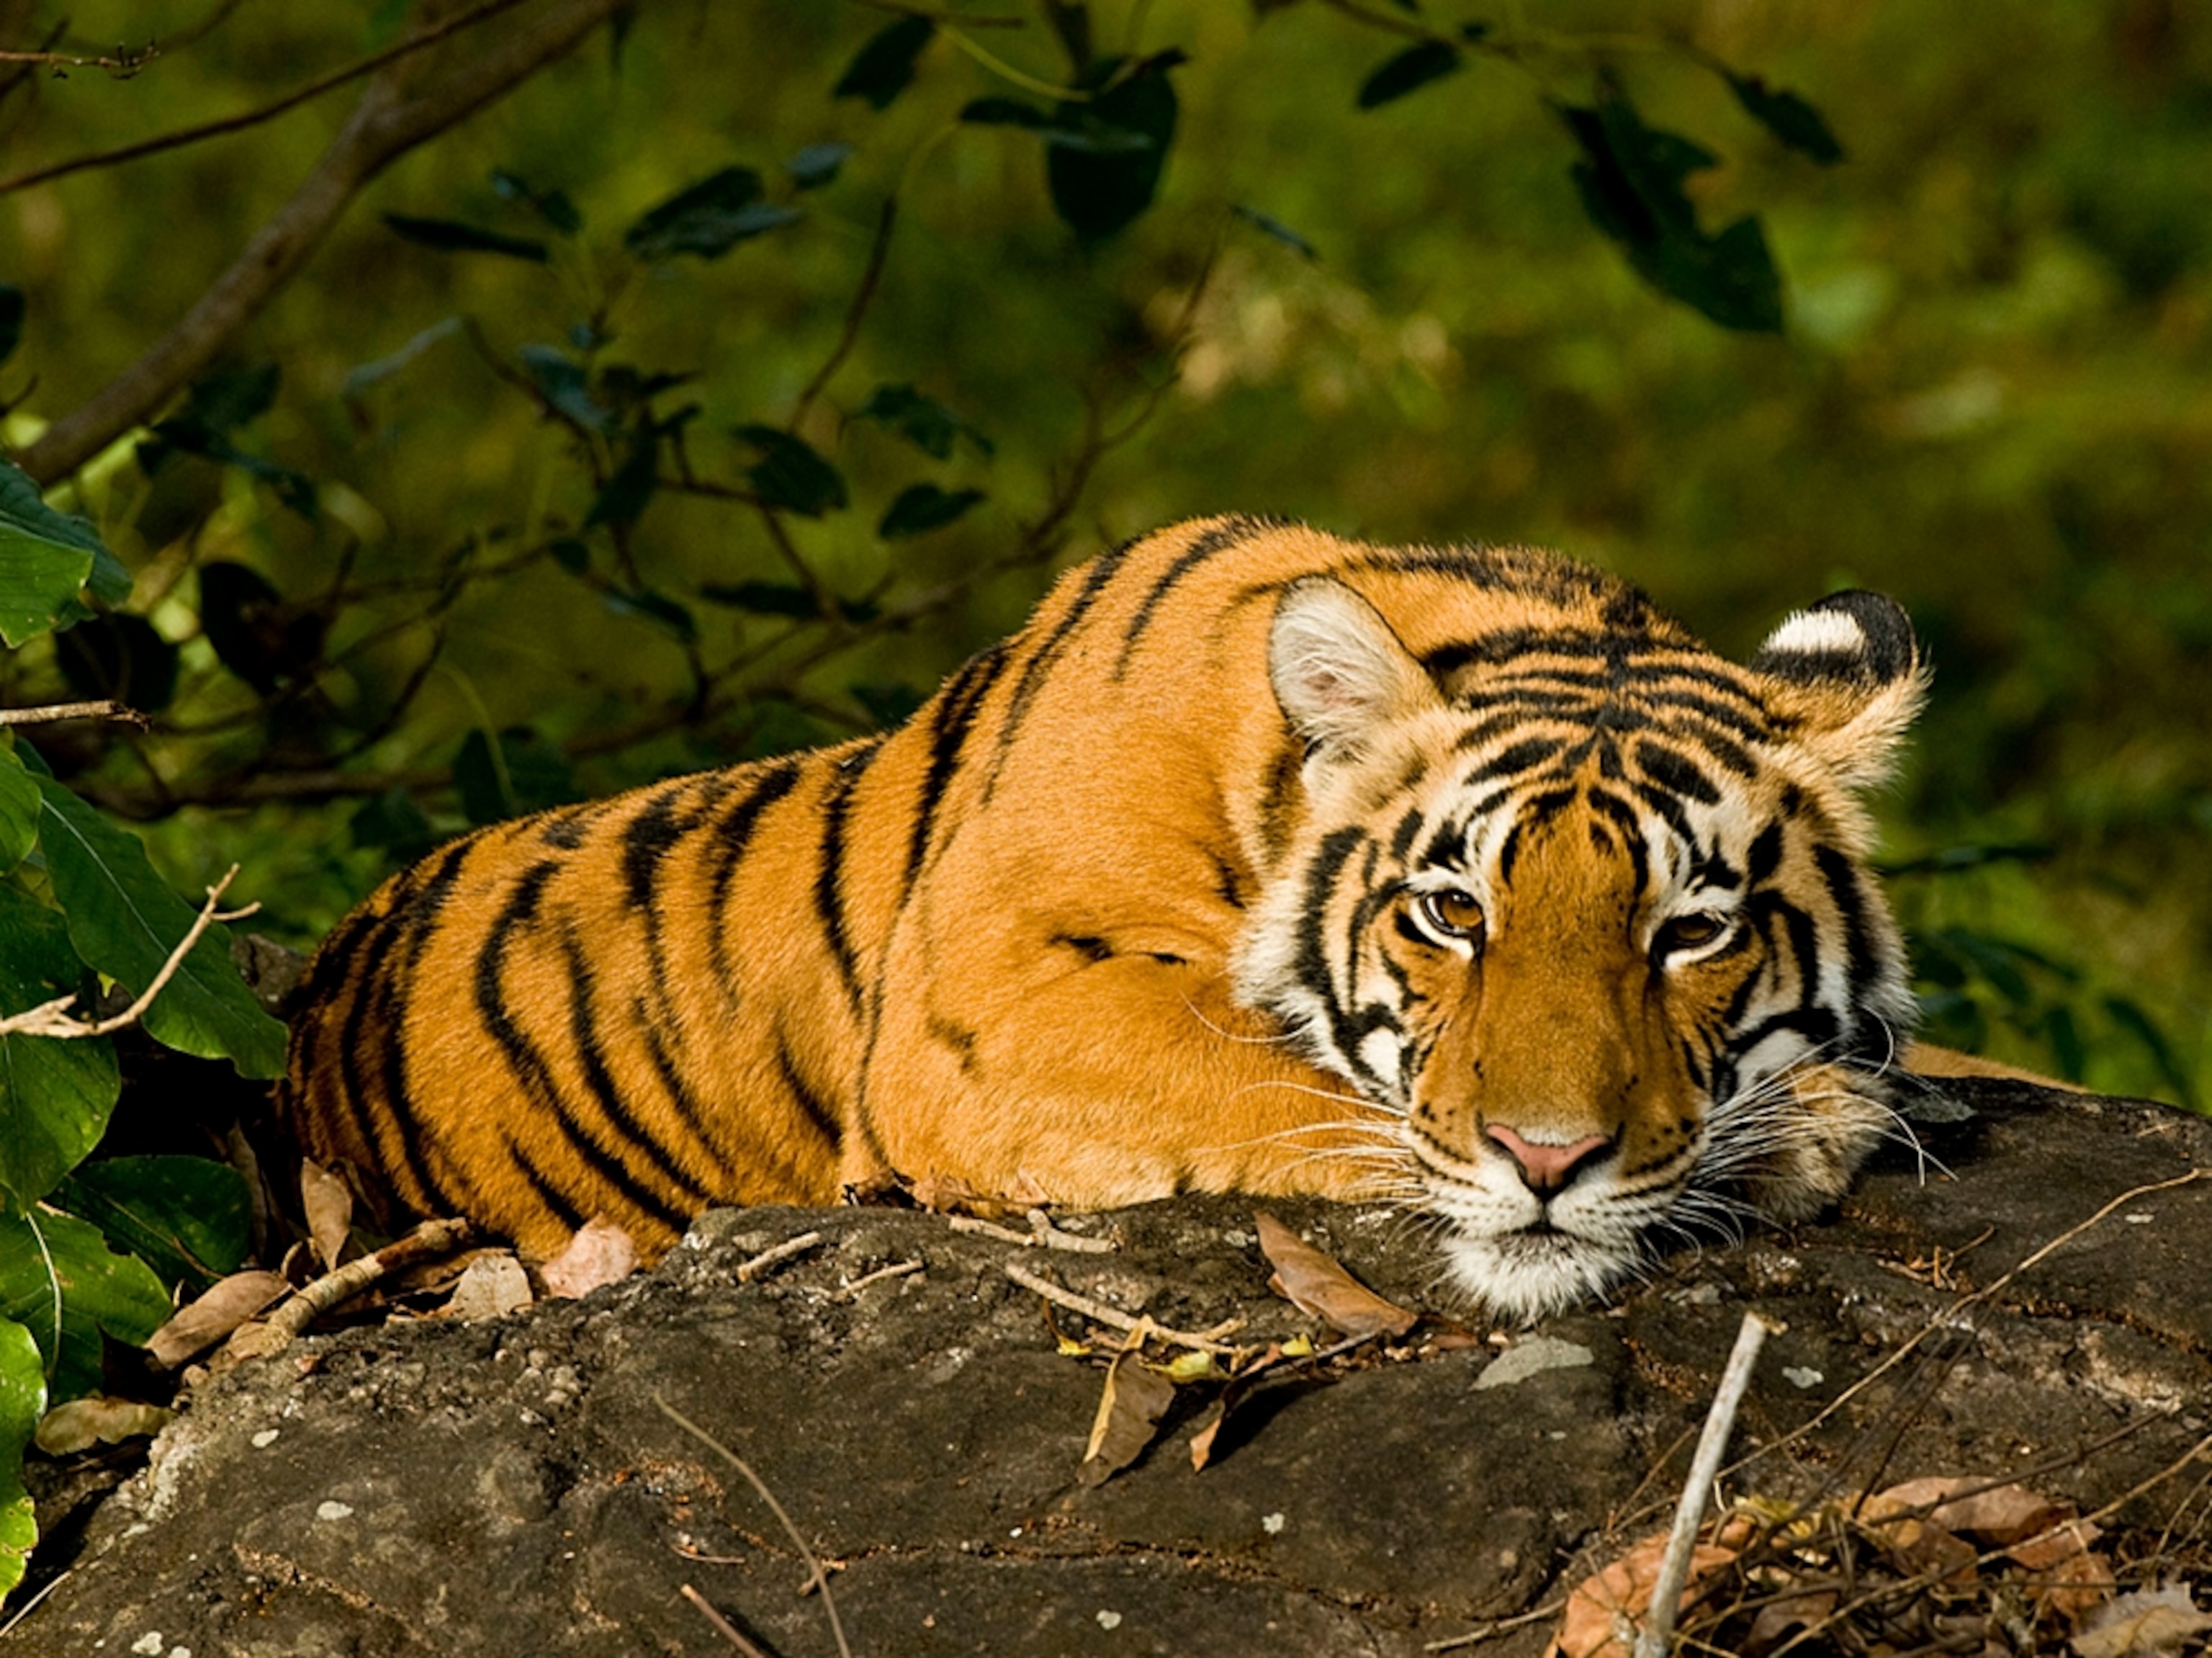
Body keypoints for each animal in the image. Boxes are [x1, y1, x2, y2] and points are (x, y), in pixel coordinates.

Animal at [281, 514, 1969, 1321]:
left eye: (1689, 930)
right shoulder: (994, 1007)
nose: (1548, 1163)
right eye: (1450, 911)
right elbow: (1279, 1078)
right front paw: (1813, 1122)